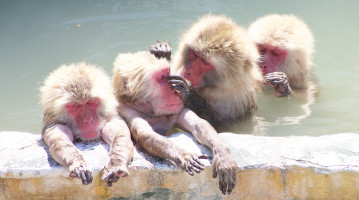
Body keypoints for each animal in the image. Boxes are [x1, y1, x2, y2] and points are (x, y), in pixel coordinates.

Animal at [113, 50, 239, 195]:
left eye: (168, 75)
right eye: (162, 77)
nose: (173, 91)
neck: (151, 111)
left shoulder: (177, 107)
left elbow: (198, 124)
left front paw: (223, 156)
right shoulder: (127, 111)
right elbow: (146, 134)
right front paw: (184, 156)